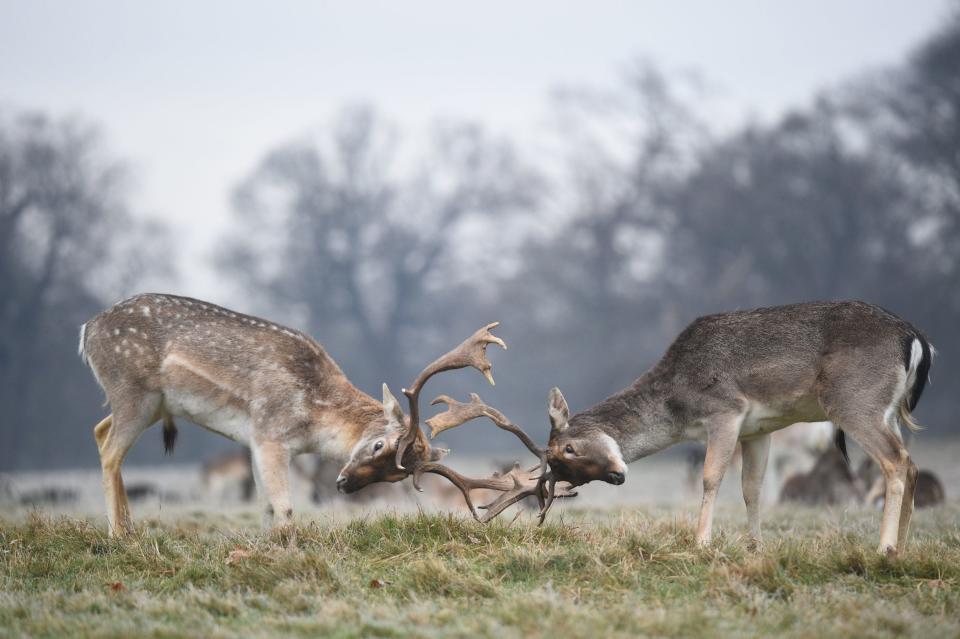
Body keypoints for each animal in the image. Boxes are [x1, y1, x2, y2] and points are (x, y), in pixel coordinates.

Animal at [80, 294, 568, 536]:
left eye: (397, 475)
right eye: (378, 443)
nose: (344, 483)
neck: (313, 419)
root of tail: (87, 330)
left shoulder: (257, 443)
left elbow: (266, 506)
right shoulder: (269, 431)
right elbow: (284, 507)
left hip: (148, 404)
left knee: (100, 430)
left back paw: (131, 528)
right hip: (134, 391)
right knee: (109, 451)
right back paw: (119, 534)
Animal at [536, 302, 932, 556]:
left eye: (569, 449)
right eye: (561, 468)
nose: (617, 476)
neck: (679, 404)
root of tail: (917, 341)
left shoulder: (726, 410)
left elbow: (711, 477)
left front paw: (702, 543)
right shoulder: (759, 429)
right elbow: (752, 488)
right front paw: (755, 546)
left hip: (855, 401)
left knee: (895, 461)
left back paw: (883, 547)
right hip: (888, 412)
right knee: (911, 464)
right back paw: (902, 549)